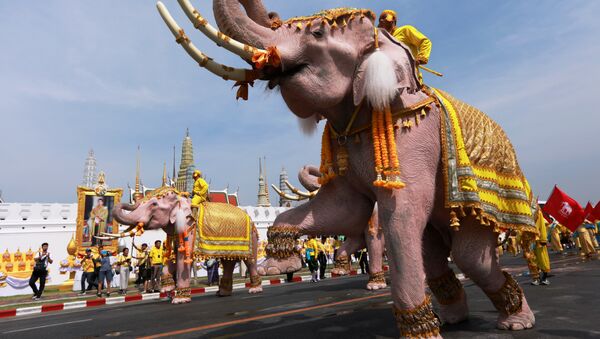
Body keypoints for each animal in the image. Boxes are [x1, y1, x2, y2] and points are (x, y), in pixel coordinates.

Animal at [105, 187, 260, 304]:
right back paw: (222, 293)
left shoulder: (189, 227)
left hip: (251, 237)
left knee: (250, 261)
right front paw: (167, 290)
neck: (181, 198)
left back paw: (254, 290)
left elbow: (182, 259)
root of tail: (251, 219)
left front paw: (179, 299)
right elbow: (170, 256)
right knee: (228, 262)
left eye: (154, 204)